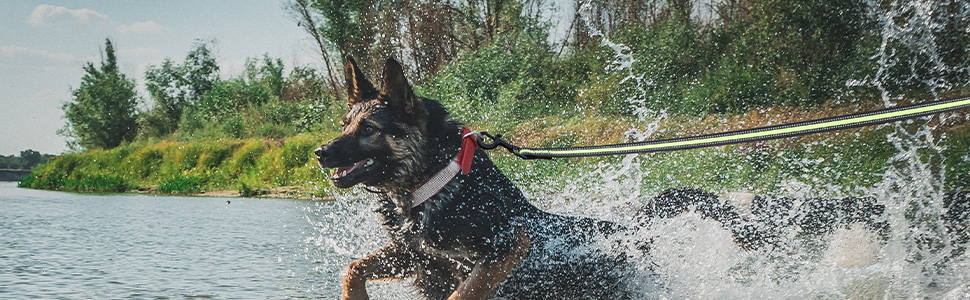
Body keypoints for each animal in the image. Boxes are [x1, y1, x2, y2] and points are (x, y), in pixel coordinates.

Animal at [316, 57, 960, 298]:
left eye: (369, 127)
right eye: (345, 121)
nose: (322, 153)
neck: (438, 182)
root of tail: (630, 230)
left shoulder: (503, 253)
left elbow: (463, 290)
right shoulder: (415, 257)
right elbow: (356, 267)